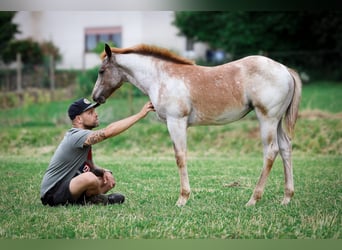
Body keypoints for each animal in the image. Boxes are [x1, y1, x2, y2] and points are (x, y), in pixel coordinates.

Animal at [91, 43, 302, 207]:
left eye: (101, 71)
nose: (95, 97)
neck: (162, 77)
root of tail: (285, 69)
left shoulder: (176, 122)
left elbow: (180, 157)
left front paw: (183, 198)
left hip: (267, 118)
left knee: (271, 151)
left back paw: (253, 199)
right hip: (277, 121)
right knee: (285, 148)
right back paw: (286, 198)